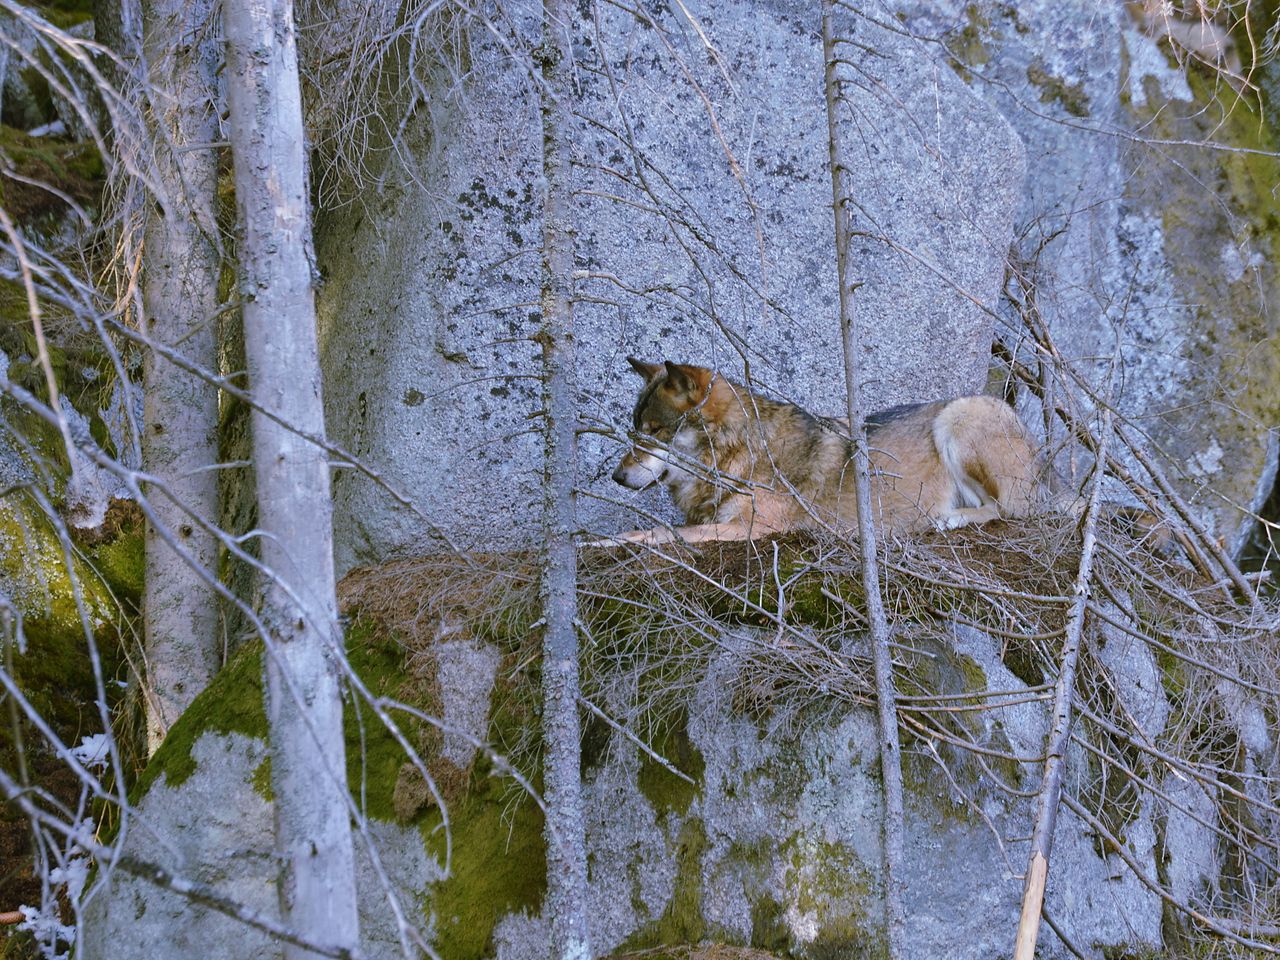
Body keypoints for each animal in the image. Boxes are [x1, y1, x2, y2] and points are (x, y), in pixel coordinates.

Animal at [606, 358, 1049, 545]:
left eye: (655, 432)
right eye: (635, 430)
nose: (616, 477)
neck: (740, 454)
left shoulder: (752, 528)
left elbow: (663, 532)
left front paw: (612, 540)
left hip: (957, 418)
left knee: (1010, 511)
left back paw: (949, 520)